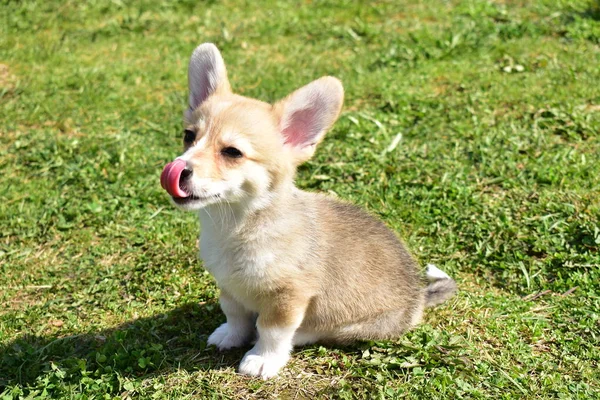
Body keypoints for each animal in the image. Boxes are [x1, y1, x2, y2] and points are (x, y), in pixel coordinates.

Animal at [159, 43, 454, 378]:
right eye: (188, 136)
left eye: (232, 152)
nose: (178, 169)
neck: (236, 224)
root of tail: (420, 297)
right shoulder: (229, 287)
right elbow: (234, 314)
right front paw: (230, 336)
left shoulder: (288, 297)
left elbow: (272, 329)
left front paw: (263, 358)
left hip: (357, 325)